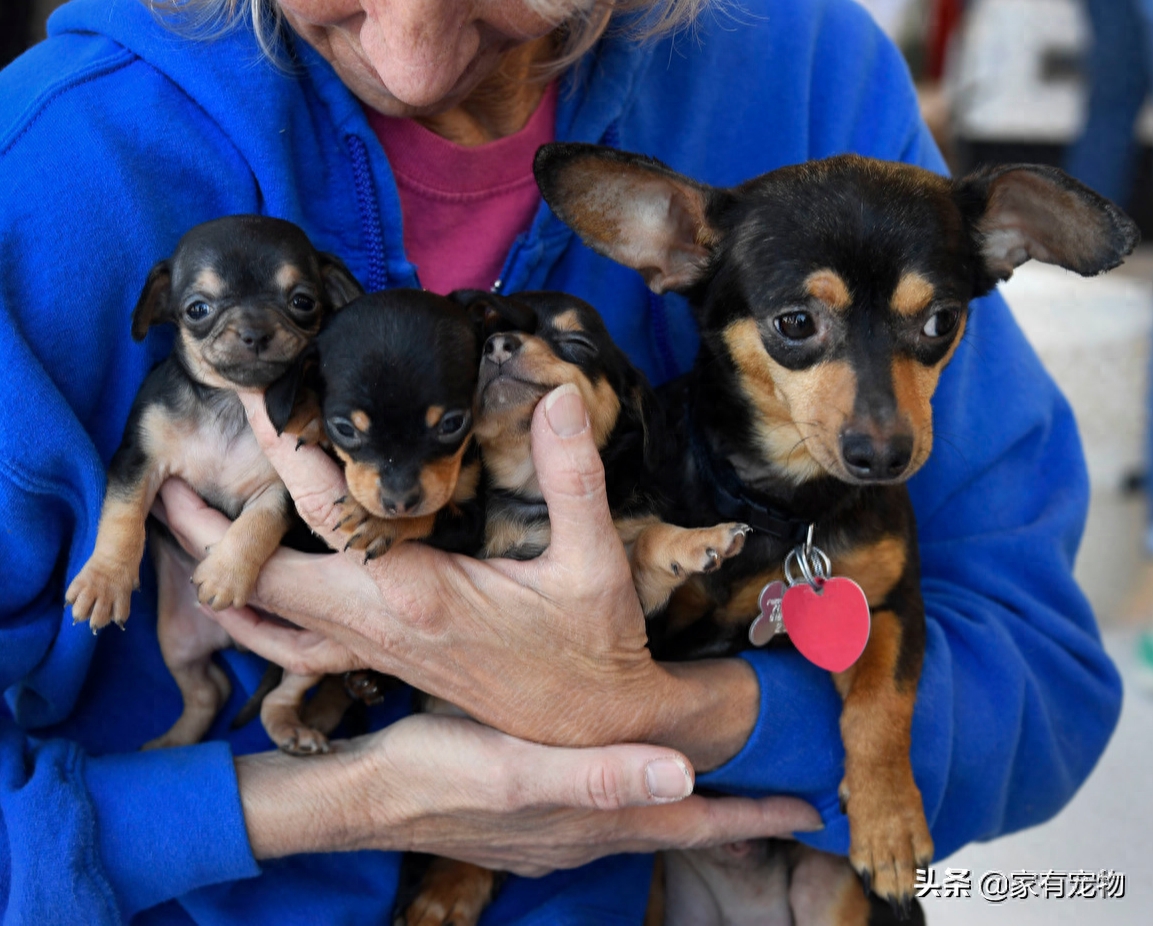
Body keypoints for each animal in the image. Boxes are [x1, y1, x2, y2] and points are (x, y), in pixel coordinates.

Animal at [65, 216, 359, 751]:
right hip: (176, 640)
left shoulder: (284, 490)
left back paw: (291, 731)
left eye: (303, 301)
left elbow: (258, 524)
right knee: (209, 690)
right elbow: (122, 516)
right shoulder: (139, 459)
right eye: (197, 309)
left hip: (312, 649)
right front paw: (104, 580)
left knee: (279, 693)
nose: (255, 331)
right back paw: (170, 746)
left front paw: (225, 573)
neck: (231, 404)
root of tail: (233, 641)